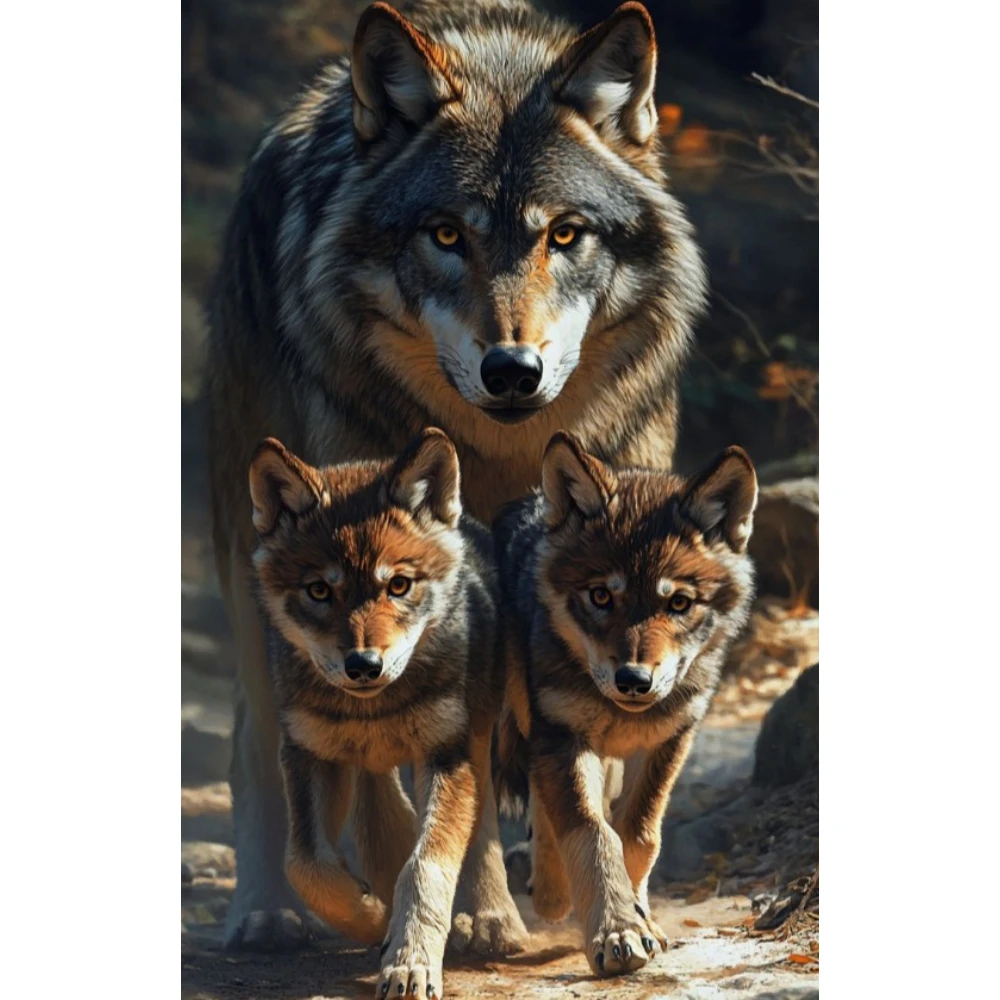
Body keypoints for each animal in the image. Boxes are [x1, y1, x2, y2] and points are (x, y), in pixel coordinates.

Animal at [248, 428, 527, 996]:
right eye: (319, 590)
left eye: (397, 585)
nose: (363, 665)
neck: (373, 712)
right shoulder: (308, 754)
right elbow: (305, 865)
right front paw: (375, 918)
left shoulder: (447, 754)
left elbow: (424, 868)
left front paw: (410, 961)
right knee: (377, 813)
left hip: (473, 743)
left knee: (480, 825)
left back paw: (491, 920)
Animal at [493, 432, 757, 977]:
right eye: (600, 597)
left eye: (678, 603)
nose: (633, 680)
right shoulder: (562, 736)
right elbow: (591, 833)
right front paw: (616, 930)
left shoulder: (669, 741)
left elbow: (637, 834)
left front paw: (639, 918)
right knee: (546, 804)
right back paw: (550, 892)